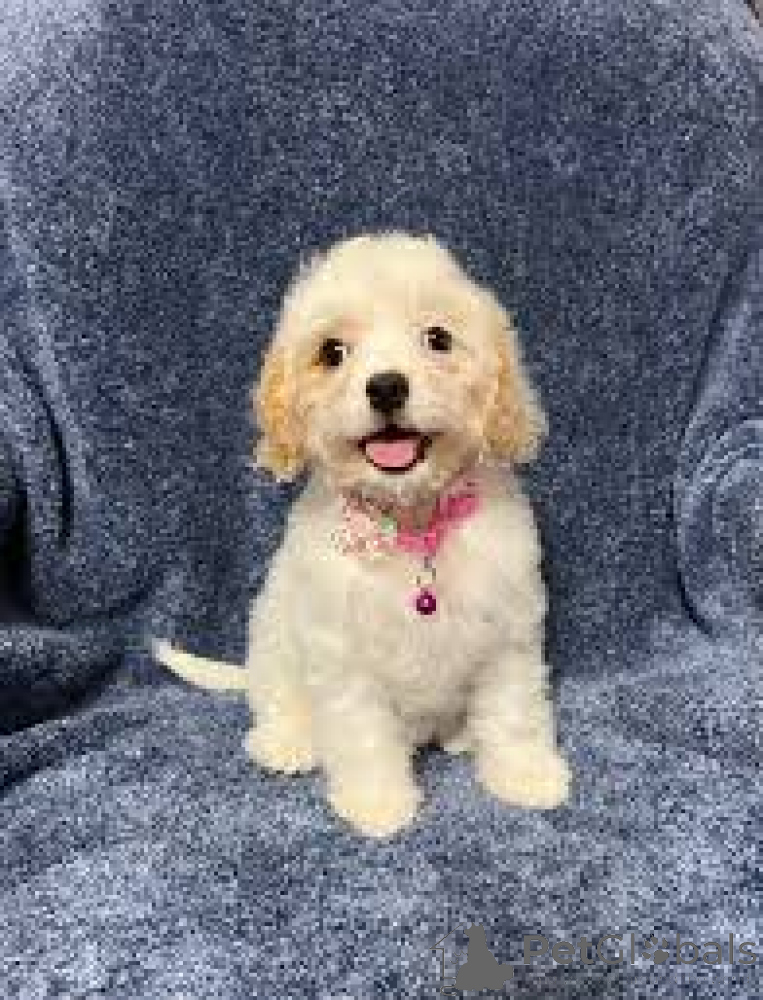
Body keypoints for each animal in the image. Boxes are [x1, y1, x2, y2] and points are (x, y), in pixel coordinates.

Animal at [153, 232, 570, 837]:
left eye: (438, 338)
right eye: (332, 352)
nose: (387, 387)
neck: (412, 525)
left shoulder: (508, 633)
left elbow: (514, 714)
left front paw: (526, 776)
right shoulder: (343, 654)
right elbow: (363, 735)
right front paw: (378, 803)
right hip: (273, 637)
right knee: (275, 699)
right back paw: (287, 741)